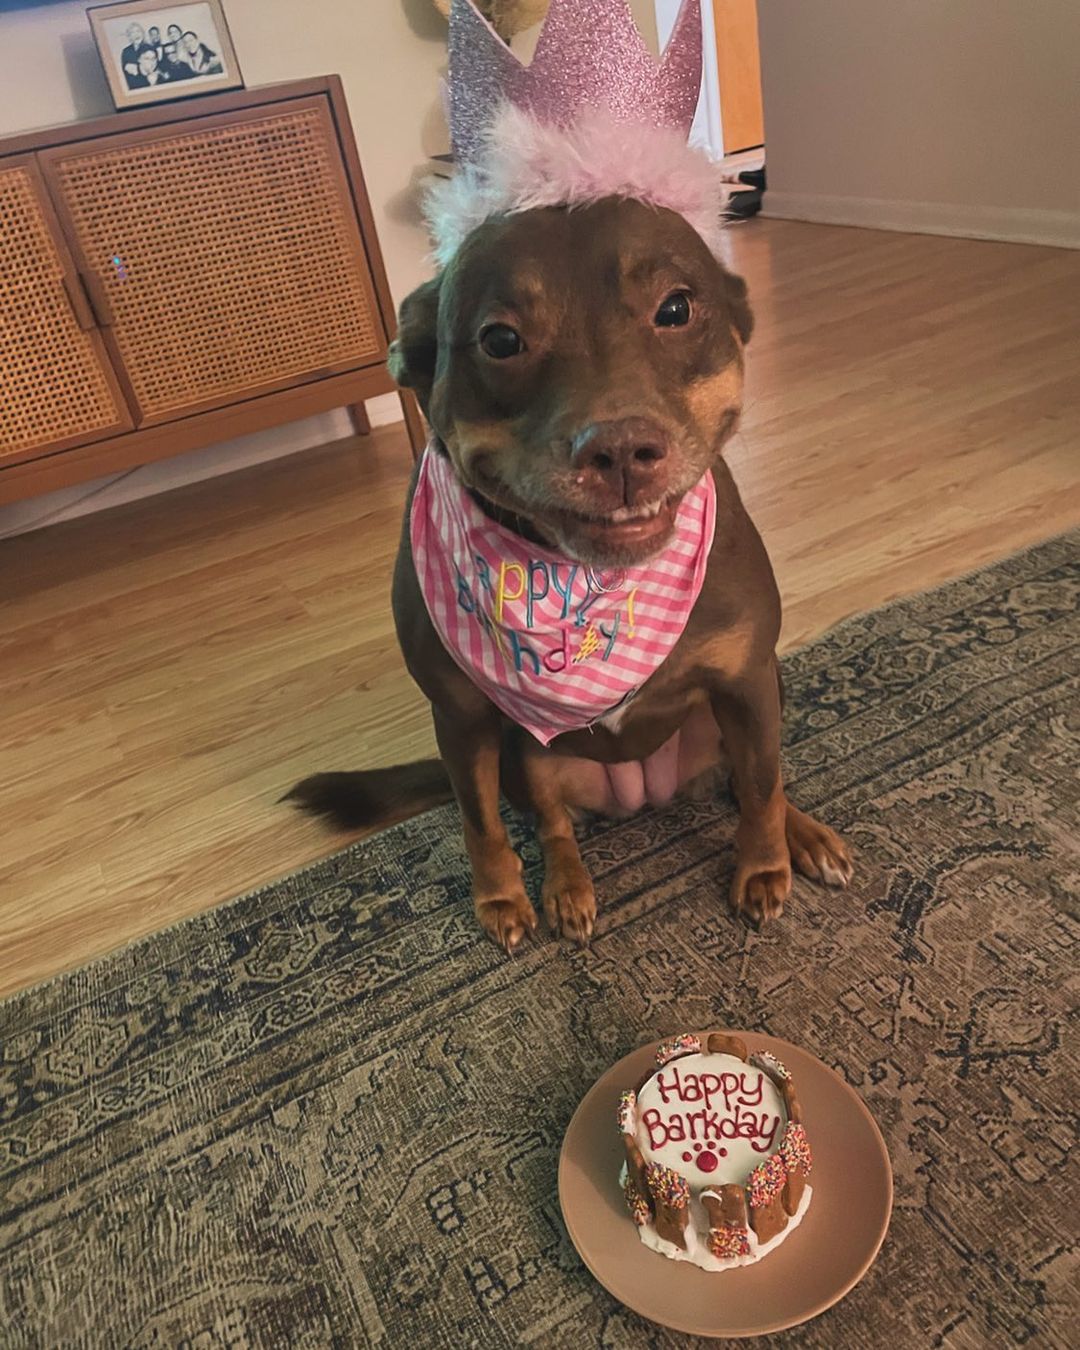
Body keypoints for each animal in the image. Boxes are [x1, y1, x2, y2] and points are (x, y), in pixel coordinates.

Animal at [286, 197, 853, 950]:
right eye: (500, 340)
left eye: (676, 309)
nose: (620, 449)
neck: (592, 584)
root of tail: (644, 790)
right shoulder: (461, 717)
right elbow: (479, 820)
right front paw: (498, 899)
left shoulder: (746, 679)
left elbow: (762, 784)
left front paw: (765, 865)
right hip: (527, 753)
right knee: (553, 826)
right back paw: (566, 890)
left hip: (762, 692)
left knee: (752, 774)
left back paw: (804, 836)